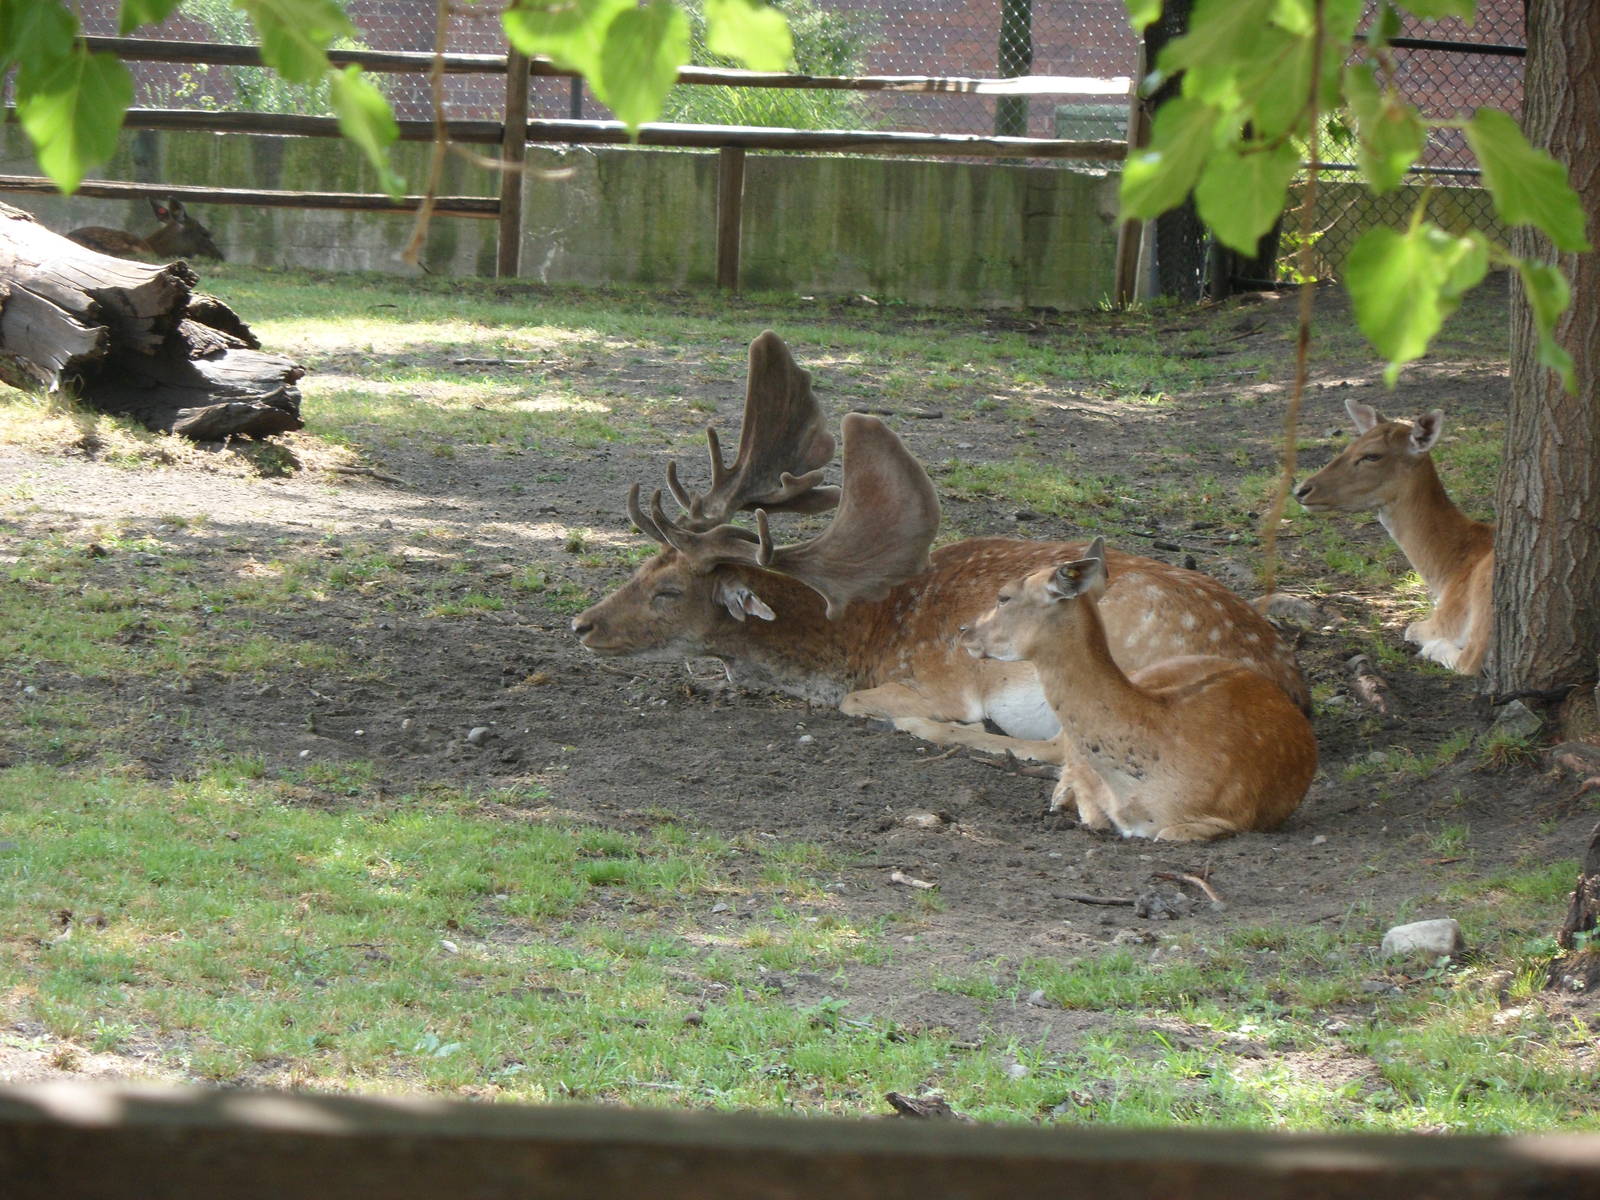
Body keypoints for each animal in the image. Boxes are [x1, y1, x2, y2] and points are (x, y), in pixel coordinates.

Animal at [572, 331, 1310, 775]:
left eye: (669, 590)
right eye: (640, 567)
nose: (581, 625)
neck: (853, 642)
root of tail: (1292, 691)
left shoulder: (936, 678)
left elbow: (861, 703)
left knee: (1063, 745)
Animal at [1294, 399, 1493, 675]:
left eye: (1372, 455)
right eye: (1349, 445)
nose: (1301, 490)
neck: (1448, 573)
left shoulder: (1449, 616)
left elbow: (1412, 628)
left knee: (1469, 662)